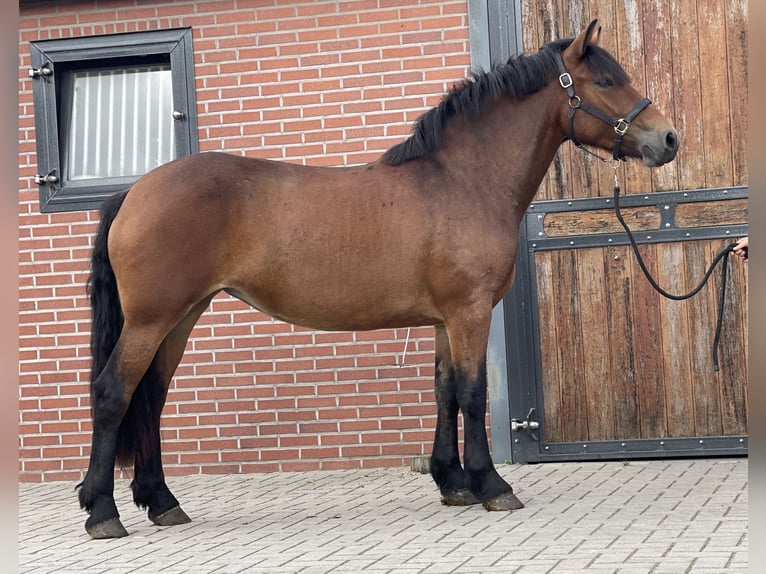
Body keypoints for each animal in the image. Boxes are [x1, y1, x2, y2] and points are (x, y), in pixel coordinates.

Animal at [76, 19, 680, 540]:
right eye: (606, 81)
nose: (669, 138)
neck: (462, 180)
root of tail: (134, 191)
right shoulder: (470, 311)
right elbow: (473, 393)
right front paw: (491, 484)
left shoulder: (444, 319)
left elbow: (444, 392)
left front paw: (453, 481)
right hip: (152, 319)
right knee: (113, 392)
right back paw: (103, 511)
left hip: (181, 316)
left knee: (151, 397)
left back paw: (162, 501)